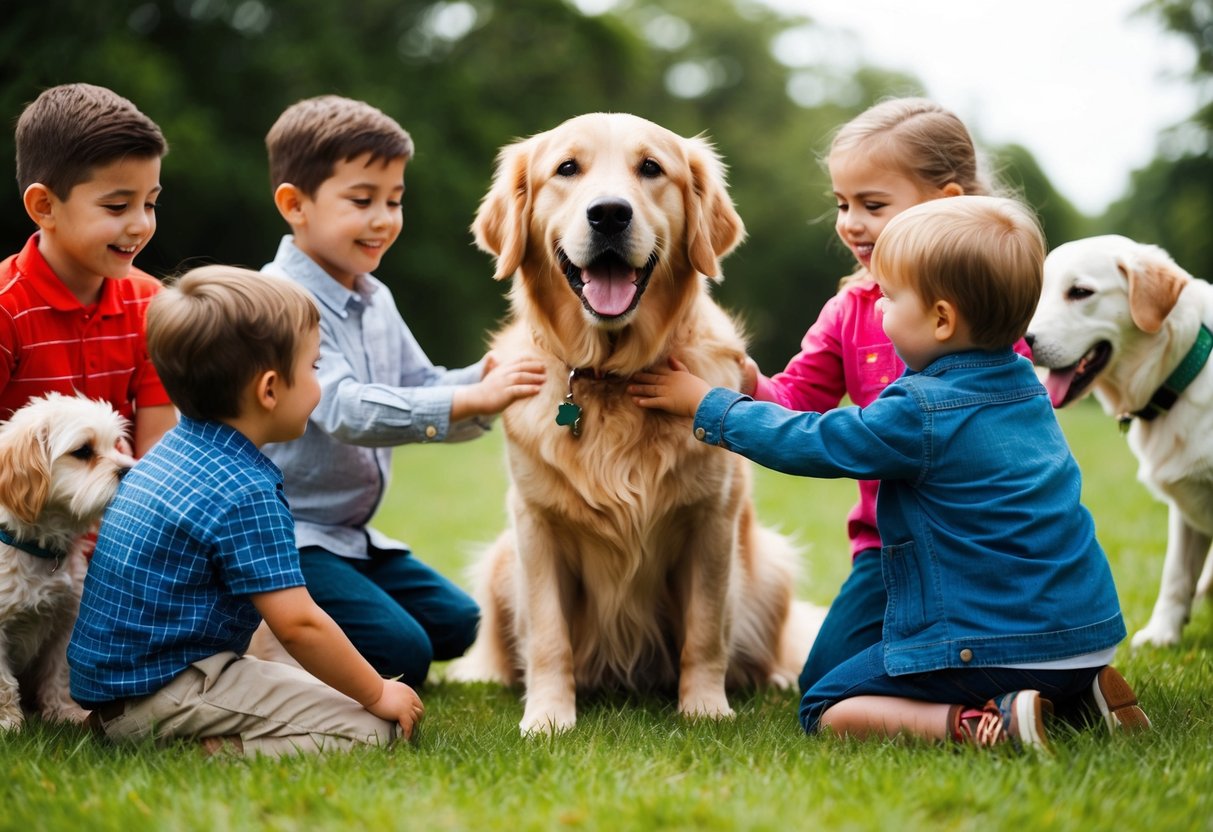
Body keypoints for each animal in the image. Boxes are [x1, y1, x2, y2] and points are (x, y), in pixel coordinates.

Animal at [0, 395, 133, 727]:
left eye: (116, 445)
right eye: (83, 451)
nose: (130, 469)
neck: (39, 550)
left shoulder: (65, 622)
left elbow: (59, 672)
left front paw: (64, 713)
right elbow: (3, 682)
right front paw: (8, 722)